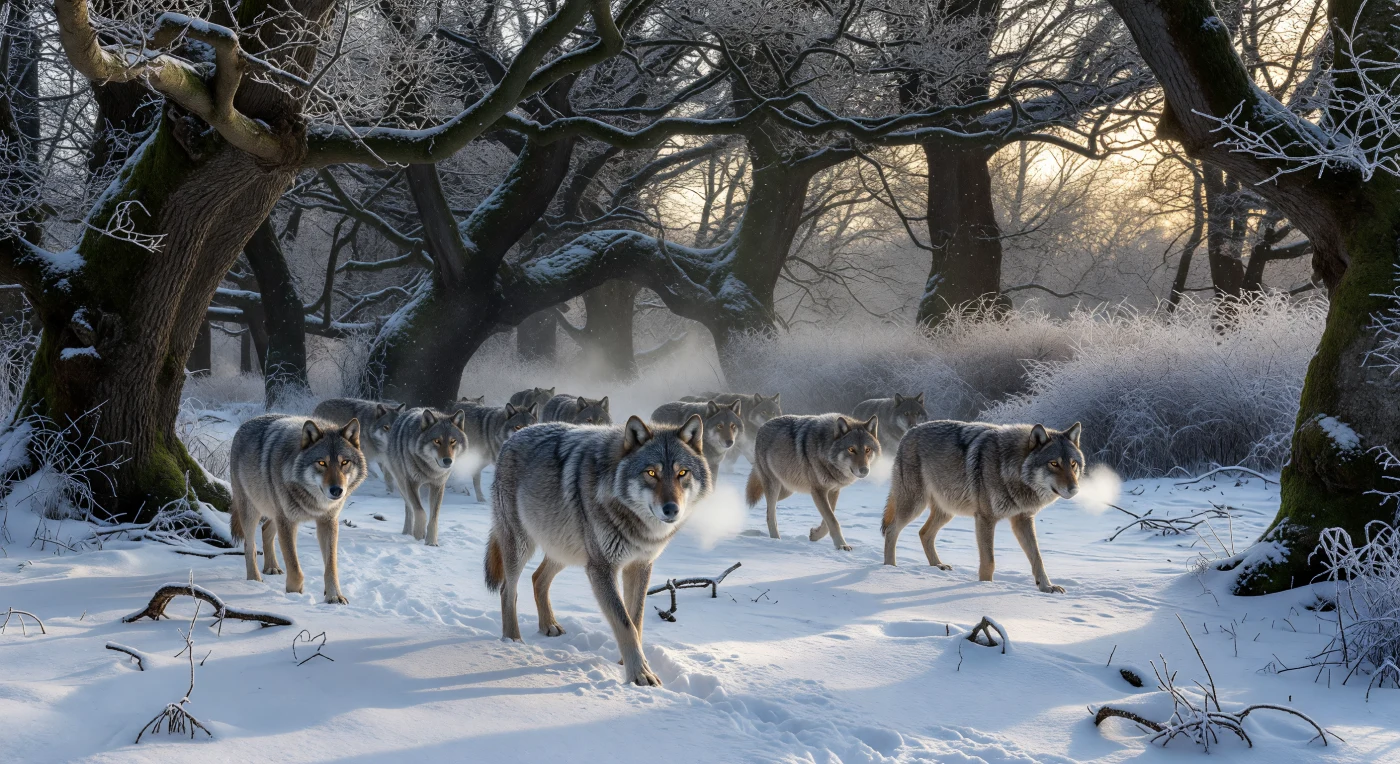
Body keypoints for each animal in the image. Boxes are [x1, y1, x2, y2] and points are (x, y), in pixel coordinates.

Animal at [228, 414, 367, 604]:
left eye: (344, 462)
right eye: (322, 463)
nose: (337, 490)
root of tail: (244, 425)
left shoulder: (328, 522)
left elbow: (331, 567)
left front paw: (334, 596)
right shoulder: (288, 522)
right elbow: (294, 567)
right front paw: (294, 596)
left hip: (275, 512)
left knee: (265, 530)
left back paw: (271, 567)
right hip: (253, 511)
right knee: (249, 545)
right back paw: (254, 580)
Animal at [385, 407, 468, 546]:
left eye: (453, 441)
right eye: (437, 441)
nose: (448, 461)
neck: (430, 471)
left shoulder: (438, 486)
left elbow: (434, 517)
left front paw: (431, 542)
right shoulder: (411, 483)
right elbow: (420, 511)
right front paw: (418, 534)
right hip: (402, 484)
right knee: (410, 508)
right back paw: (408, 532)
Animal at [485, 414, 711, 686]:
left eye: (682, 473)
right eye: (651, 473)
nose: (671, 509)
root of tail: (514, 436)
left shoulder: (639, 566)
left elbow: (636, 620)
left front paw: (628, 663)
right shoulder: (602, 568)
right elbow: (624, 623)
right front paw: (640, 675)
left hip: (567, 550)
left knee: (537, 578)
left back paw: (548, 625)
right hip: (522, 546)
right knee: (508, 590)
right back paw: (513, 642)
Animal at [745, 414, 879, 550]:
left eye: (867, 449)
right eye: (851, 449)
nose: (864, 470)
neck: (825, 450)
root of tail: (763, 426)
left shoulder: (833, 491)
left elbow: (828, 521)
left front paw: (815, 535)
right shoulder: (818, 491)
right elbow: (833, 520)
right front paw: (842, 545)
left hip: (787, 491)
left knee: (767, 505)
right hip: (774, 486)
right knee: (770, 515)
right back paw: (775, 539)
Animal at [880, 421, 1083, 593]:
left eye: (1073, 464)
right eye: (1054, 463)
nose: (1075, 489)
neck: (1010, 469)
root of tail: (910, 431)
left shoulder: (1023, 519)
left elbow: (1037, 557)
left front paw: (1047, 587)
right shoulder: (985, 519)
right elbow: (989, 561)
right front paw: (984, 588)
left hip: (947, 511)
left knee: (923, 533)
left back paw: (938, 565)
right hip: (915, 505)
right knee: (892, 530)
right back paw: (890, 569)